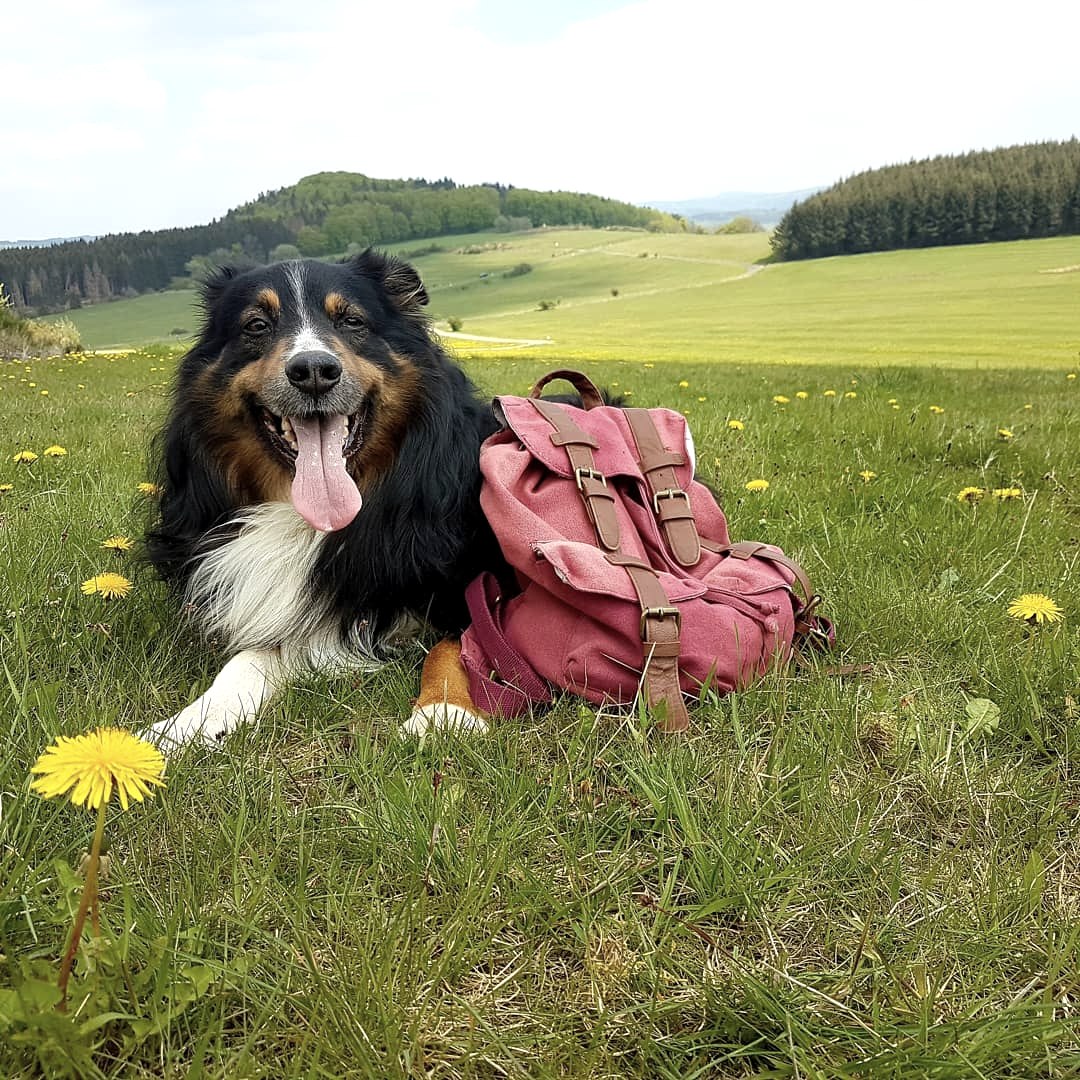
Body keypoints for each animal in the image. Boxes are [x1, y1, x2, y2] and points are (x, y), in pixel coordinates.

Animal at [143, 249, 505, 747]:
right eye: (257, 325)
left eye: (351, 320)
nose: (314, 371)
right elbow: (244, 662)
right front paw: (181, 728)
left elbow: (458, 643)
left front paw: (443, 713)